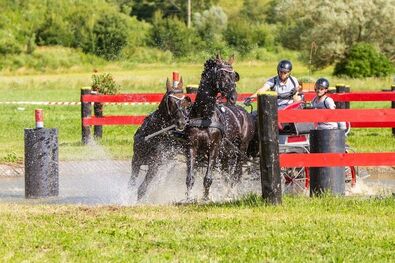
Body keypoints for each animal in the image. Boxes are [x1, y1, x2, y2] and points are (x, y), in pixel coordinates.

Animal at [185, 55, 254, 200]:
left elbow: (208, 178)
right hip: (226, 153)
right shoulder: (191, 146)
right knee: (226, 174)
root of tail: (245, 113)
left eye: (234, 76)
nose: (233, 97)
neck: (204, 117)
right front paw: (188, 197)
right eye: (222, 74)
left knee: (236, 173)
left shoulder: (214, 147)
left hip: (241, 149)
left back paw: (231, 193)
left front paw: (205, 198)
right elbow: (190, 177)